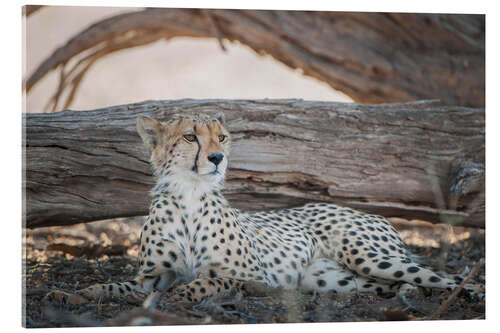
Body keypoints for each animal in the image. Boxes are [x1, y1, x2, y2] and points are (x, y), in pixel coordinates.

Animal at [48, 112, 482, 306]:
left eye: (222, 136)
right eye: (190, 137)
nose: (218, 158)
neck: (189, 195)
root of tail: (372, 213)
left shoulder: (256, 277)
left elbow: (205, 282)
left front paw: (178, 297)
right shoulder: (151, 276)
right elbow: (115, 286)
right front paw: (74, 293)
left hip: (368, 256)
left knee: (444, 277)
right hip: (336, 280)